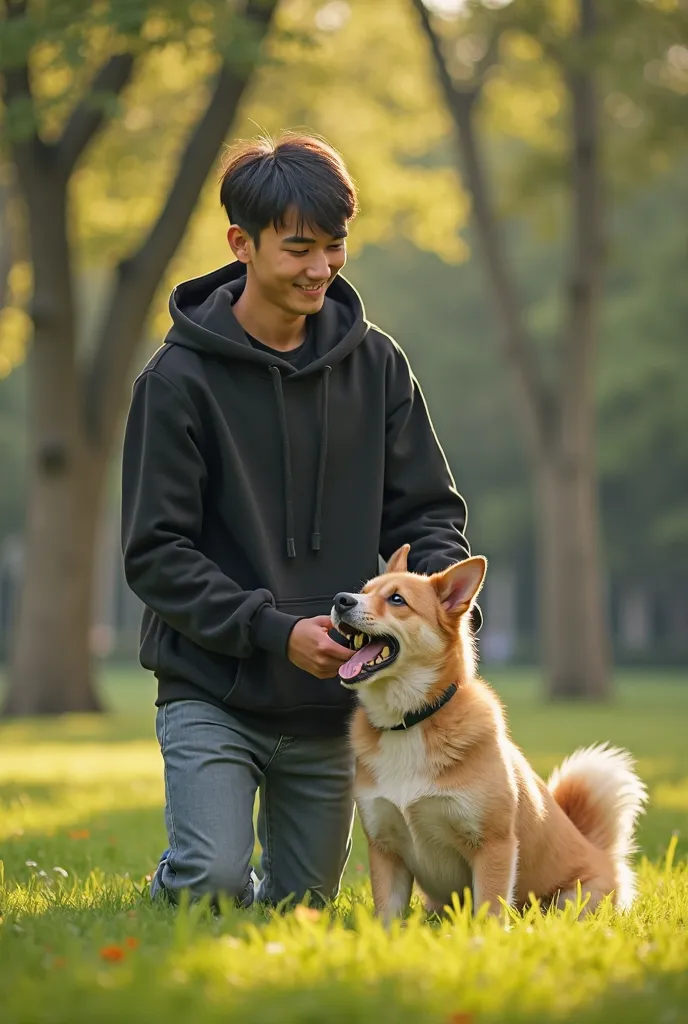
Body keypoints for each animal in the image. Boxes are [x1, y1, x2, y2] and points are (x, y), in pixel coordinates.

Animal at [329, 548, 647, 925]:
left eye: (397, 599)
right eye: (364, 590)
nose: (340, 599)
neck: (411, 721)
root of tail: (600, 853)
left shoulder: (493, 845)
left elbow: (490, 909)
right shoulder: (385, 847)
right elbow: (387, 917)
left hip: (569, 900)